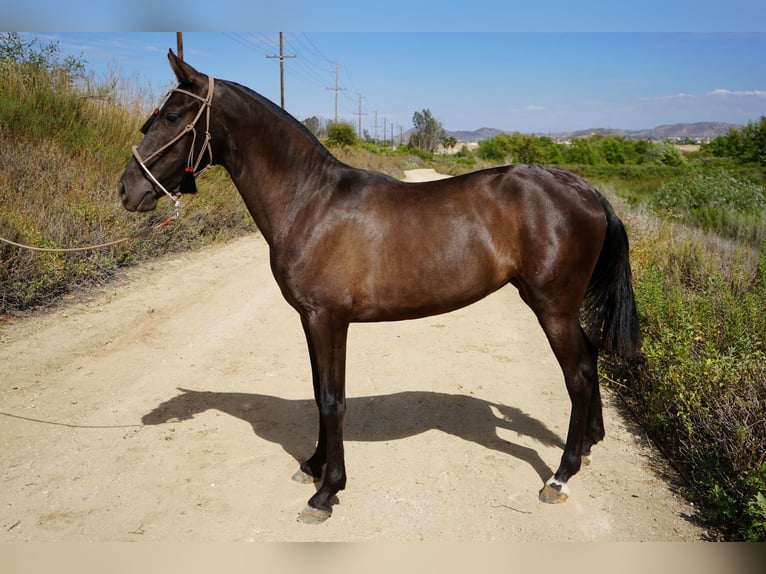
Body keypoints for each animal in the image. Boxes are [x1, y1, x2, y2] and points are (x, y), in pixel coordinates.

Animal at [119, 50, 640, 524]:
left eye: (171, 116)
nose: (127, 190)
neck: (310, 201)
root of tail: (586, 191)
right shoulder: (311, 320)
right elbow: (318, 392)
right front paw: (314, 465)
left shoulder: (328, 319)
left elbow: (333, 400)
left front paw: (327, 492)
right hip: (562, 307)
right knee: (590, 358)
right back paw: (589, 445)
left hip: (551, 306)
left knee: (577, 376)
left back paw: (560, 476)